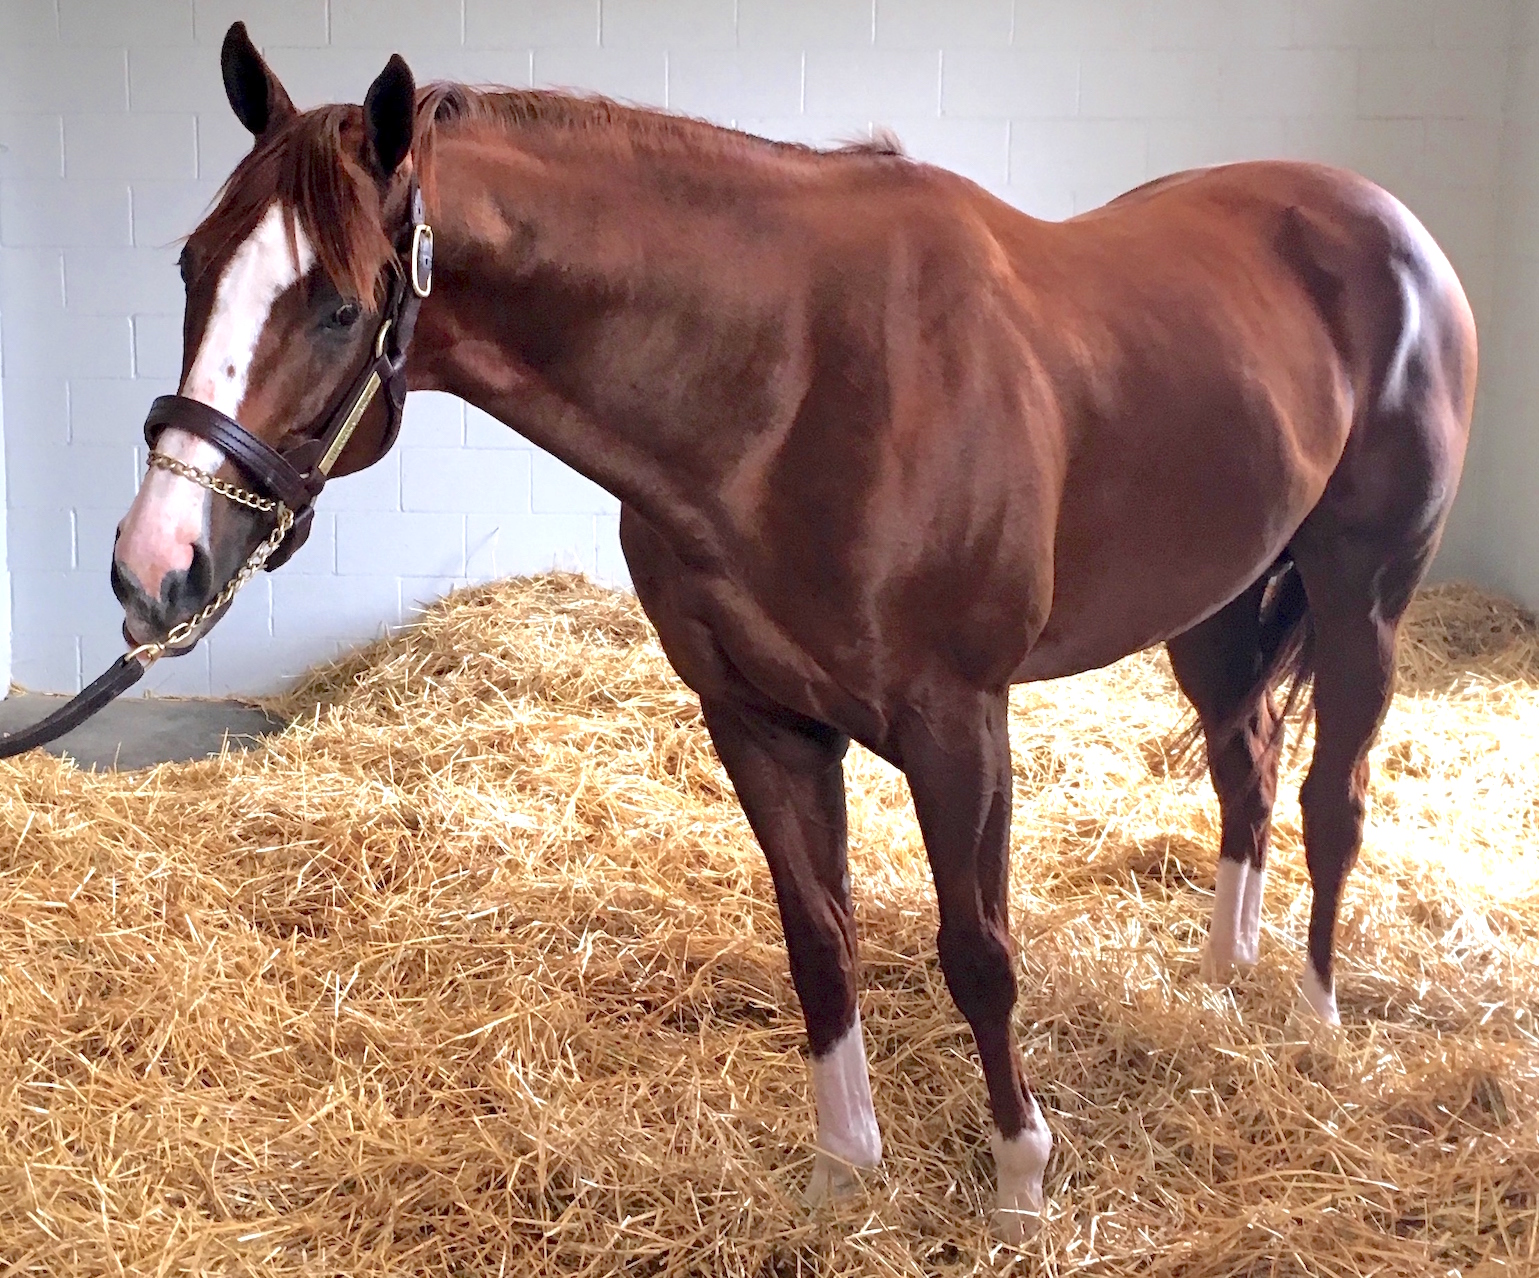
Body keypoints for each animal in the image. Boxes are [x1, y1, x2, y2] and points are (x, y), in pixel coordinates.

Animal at [113, 27, 1471, 1244]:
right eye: (188, 268)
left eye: (340, 308)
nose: (153, 568)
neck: (793, 381)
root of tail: (1391, 228)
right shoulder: (759, 720)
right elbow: (820, 941)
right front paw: (841, 1176)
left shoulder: (960, 726)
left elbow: (979, 953)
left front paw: (1021, 1187)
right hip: (1216, 605)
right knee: (1248, 773)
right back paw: (1225, 979)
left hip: (1363, 595)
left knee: (1333, 797)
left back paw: (1310, 1018)